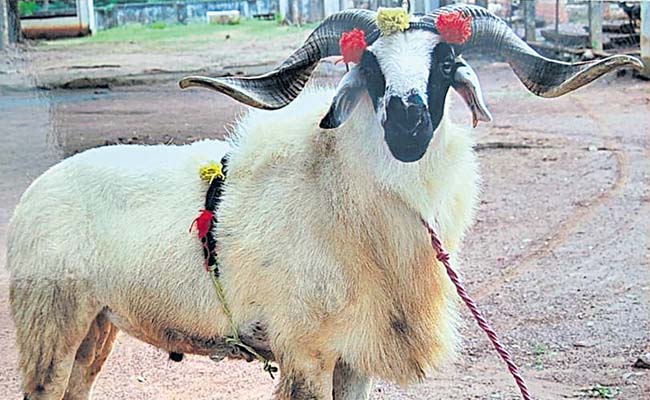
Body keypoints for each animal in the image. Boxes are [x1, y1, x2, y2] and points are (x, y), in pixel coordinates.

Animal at [7, 5, 643, 400]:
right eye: (367, 65)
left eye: (444, 64)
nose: (408, 124)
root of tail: (34, 195)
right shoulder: (305, 353)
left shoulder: (355, 358)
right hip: (50, 322)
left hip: (97, 326)